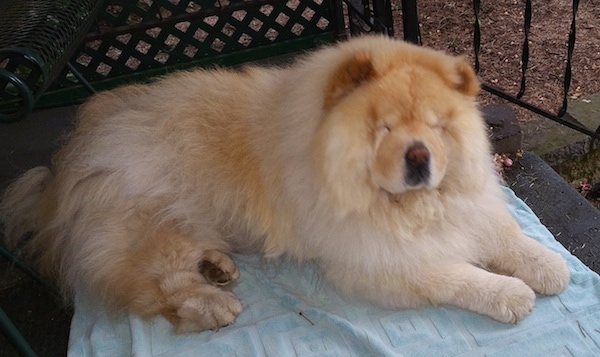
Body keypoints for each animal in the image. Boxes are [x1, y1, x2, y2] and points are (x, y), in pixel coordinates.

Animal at [0, 35, 568, 330]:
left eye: (435, 124)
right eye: (382, 128)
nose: (420, 157)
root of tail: (68, 161)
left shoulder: (468, 209)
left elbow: (506, 234)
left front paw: (548, 265)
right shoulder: (378, 263)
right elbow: (456, 275)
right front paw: (511, 294)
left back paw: (219, 267)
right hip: (147, 221)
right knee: (158, 284)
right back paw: (216, 304)